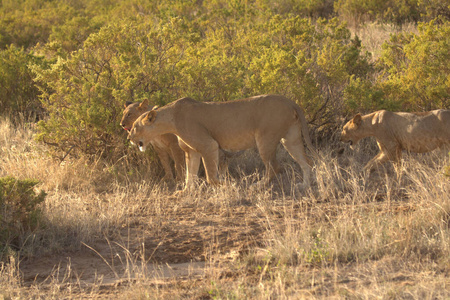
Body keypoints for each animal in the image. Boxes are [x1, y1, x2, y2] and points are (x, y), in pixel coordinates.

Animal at [128, 95, 314, 191]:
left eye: (135, 127)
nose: (129, 138)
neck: (171, 120)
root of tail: (287, 99)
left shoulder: (208, 145)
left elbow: (210, 177)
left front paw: (230, 185)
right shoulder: (191, 152)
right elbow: (190, 174)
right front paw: (185, 192)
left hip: (265, 139)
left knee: (275, 167)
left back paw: (256, 186)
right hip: (290, 139)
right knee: (306, 162)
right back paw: (304, 185)